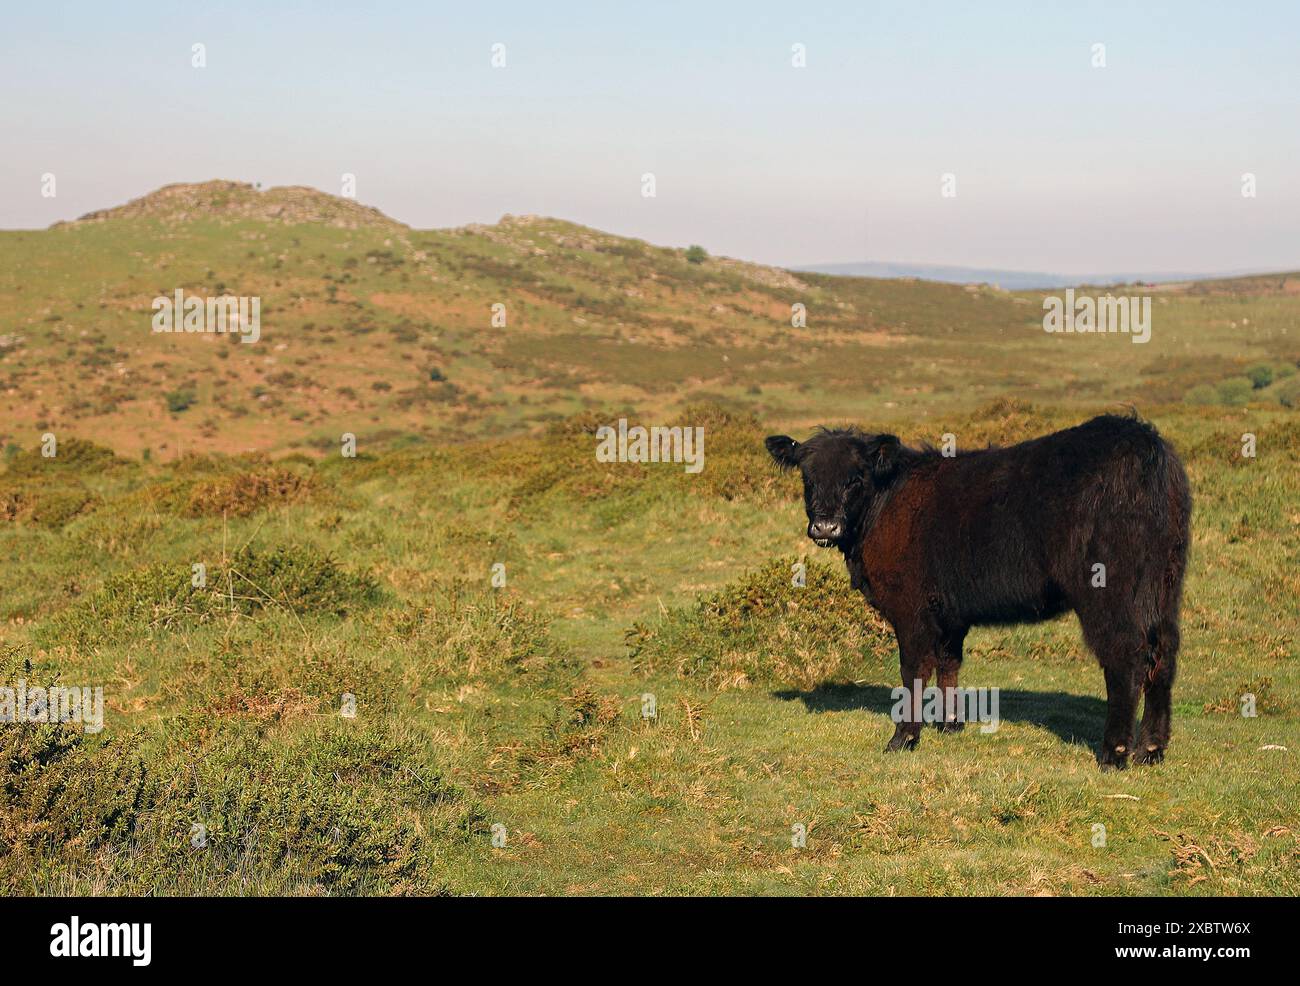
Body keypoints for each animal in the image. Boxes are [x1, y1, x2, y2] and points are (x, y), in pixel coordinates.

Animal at [765, 414, 1191, 769]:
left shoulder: (911, 608)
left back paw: (1114, 753)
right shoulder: (947, 610)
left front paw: (903, 737)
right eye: (807, 479)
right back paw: (1151, 749)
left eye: (856, 479)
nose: (825, 527)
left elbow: (913, 668)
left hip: (1109, 592)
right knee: (1163, 655)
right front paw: (949, 724)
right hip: (1165, 587)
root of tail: (1141, 441)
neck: (882, 505)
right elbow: (948, 661)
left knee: (1126, 658)